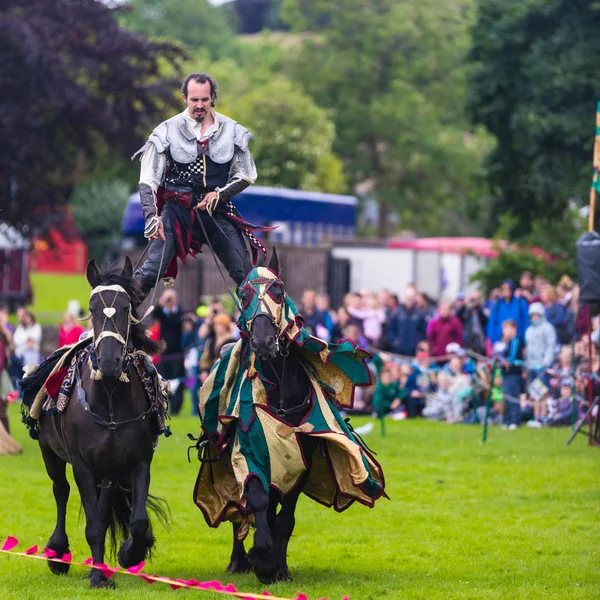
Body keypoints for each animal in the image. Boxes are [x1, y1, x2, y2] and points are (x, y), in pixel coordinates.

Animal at [21, 258, 166, 592]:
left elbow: (136, 521)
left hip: (110, 470)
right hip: (50, 452)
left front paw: (129, 553)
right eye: (92, 307)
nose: (111, 363)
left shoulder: (139, 461)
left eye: (127, 308)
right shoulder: (82, 465)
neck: (110, 397)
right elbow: (94, 525)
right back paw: (58, 552)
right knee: (60, 491)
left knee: (105, 501)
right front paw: (99, 577)